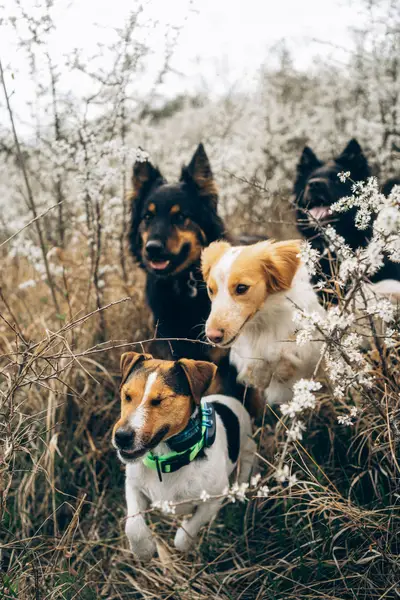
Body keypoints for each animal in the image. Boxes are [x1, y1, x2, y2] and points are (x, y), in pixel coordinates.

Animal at [113, 352, 256, 564]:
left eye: (159, 400)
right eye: (127, 395)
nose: (121, 437)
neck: (167, 460)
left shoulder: (213, 499)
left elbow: (186, 532)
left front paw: (185, 544)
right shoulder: (133, 486)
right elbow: (133, 526)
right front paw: (144, 550)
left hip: (247, 443)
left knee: (248, 458)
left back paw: (240, 487)